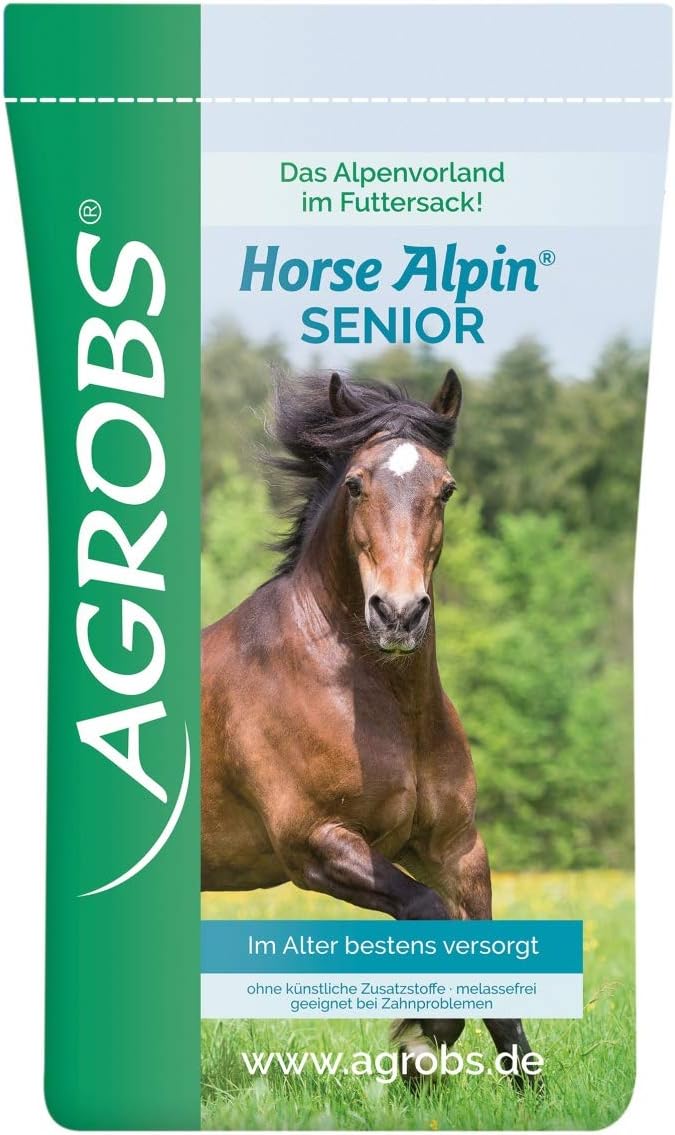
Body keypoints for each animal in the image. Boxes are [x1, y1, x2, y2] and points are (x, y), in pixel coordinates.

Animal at [201, 368, 538, 1087]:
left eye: (446, 488)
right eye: (355, 484)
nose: (399, 613)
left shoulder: (455, 848)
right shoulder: (317, 843)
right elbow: (428, 913)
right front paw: (421, 1040)